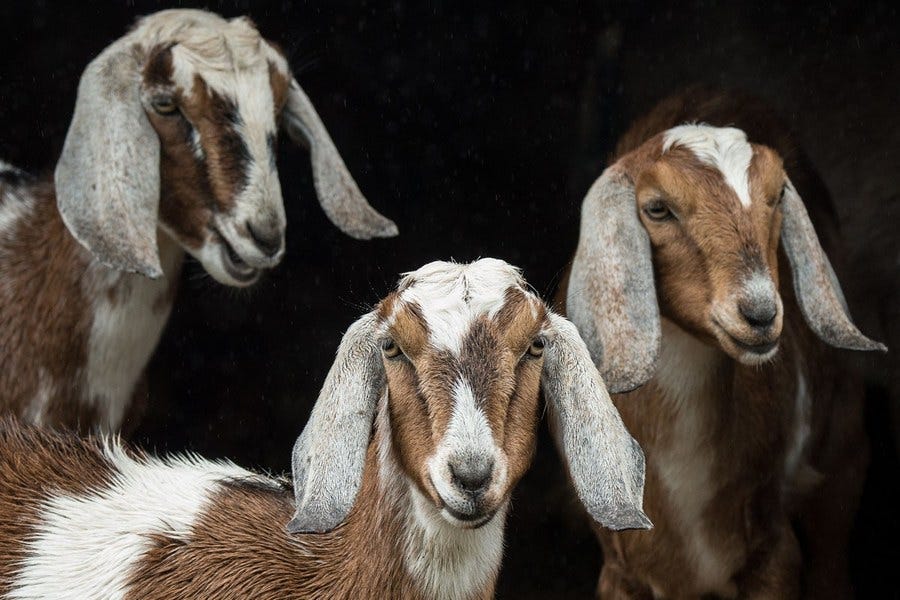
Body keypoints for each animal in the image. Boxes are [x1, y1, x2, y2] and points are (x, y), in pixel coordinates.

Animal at [558, 87, 886, 598]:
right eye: (657, 208)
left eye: (777, 195)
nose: (760, 313)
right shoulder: (620, 568)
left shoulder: (771, 554)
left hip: (845, 447)